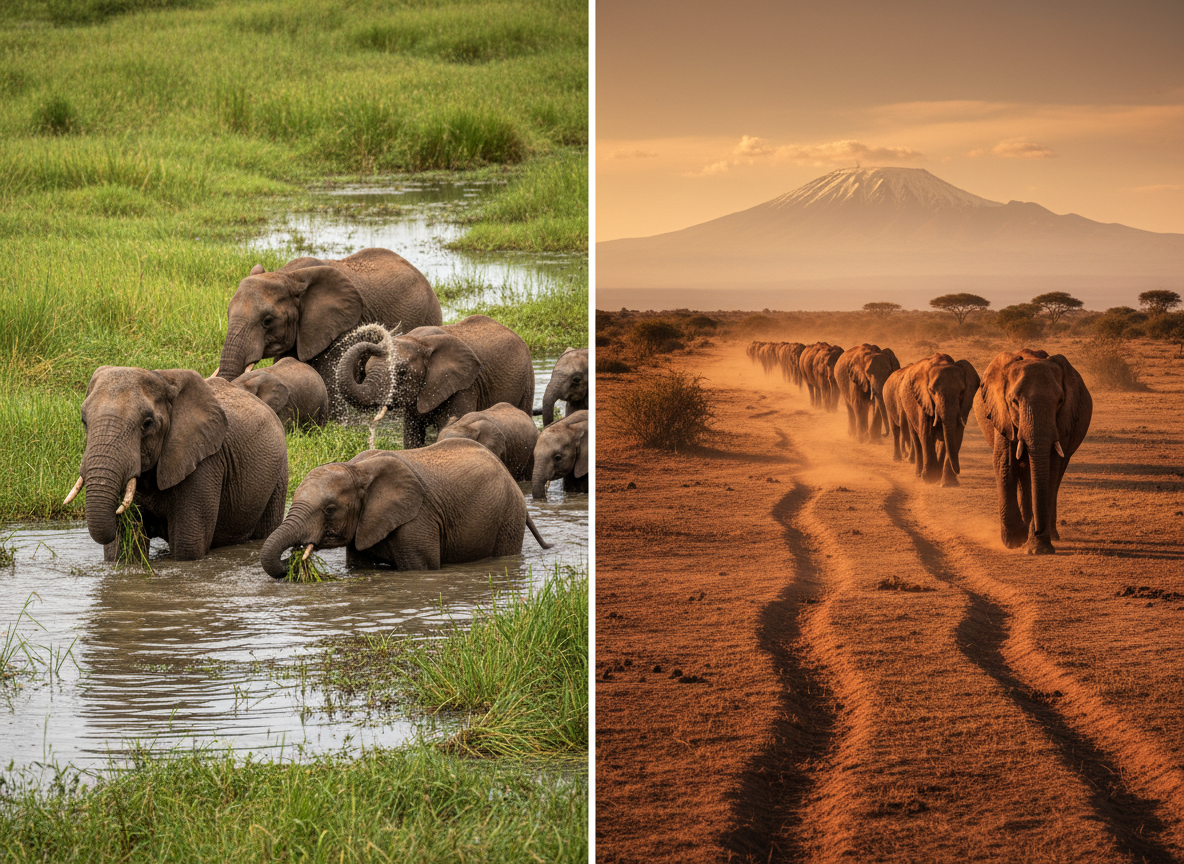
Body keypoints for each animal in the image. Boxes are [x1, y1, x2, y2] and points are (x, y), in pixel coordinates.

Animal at [66, 367, 288, 561]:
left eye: (147, 424)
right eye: (84, 421)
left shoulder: (205, 464)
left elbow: (188, 547)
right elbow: (121, 551)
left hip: (279, 474)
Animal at [260, 438, 551, 576]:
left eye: (330, 510)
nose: (290, 561)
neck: (357, 470)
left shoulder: (417, 519)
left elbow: (420, 568)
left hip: (508, 516)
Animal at [338, 314, 534, 450]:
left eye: (401, 373)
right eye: (365, 370)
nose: (383, 337)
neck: (420, 341)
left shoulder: (465, 386)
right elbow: (412, 436)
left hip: (527, 378)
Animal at [896, 353, 980, 487]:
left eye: (962, 392)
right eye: (932, 391)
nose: (958, 470)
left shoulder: (963, 407)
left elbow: (956, 435)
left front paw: (948, 483)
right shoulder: (924, 400)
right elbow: (927, 434)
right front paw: (930, 479)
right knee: (916, 437)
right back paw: (920, 474)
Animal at [973, 349, 1092, 555]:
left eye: (1060, 401)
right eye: (1014, 402)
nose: (1037, 530)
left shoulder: (1063, 420)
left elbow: (1051, 467)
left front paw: (1038, 547)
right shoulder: (1001, 413)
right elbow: (1004, 462)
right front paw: (1015, 540)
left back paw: (1050, 534)